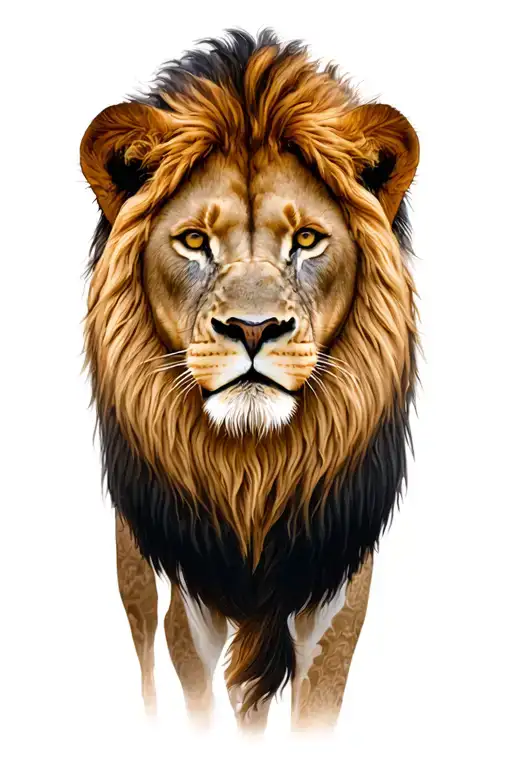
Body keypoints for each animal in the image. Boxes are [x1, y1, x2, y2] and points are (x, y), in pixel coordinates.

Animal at [80, 29, 419, 733]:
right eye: (193, 240)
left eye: (308, 239)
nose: (254, 327)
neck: (255, 471)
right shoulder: (190, 590)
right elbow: (194, 686)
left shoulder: (337, 586)